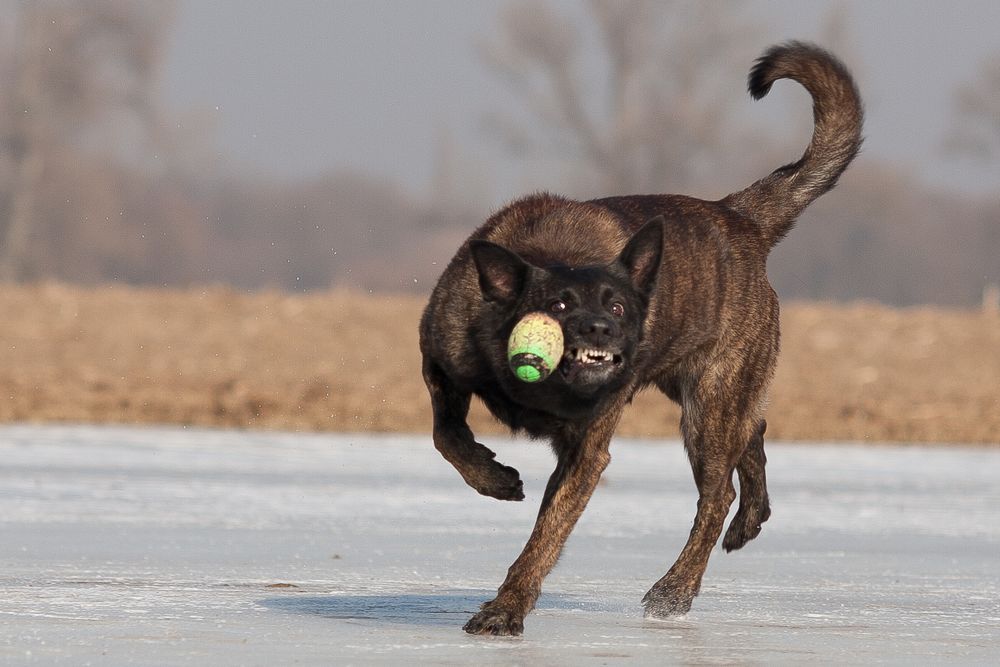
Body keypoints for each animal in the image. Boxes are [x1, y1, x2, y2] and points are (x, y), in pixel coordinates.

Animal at [418, 41, 864, 636]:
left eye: (620, 306)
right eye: (559, 305)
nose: (606, 332)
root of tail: (738, 216)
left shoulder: (586, 452)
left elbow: (543, 539)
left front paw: (506, 609)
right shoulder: (441, 363)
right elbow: (446, 434)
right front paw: (494, 478)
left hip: (708, 406)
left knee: (716, 493)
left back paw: (675, 590)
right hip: (709, 393)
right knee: (754, 434)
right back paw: (750, 519)